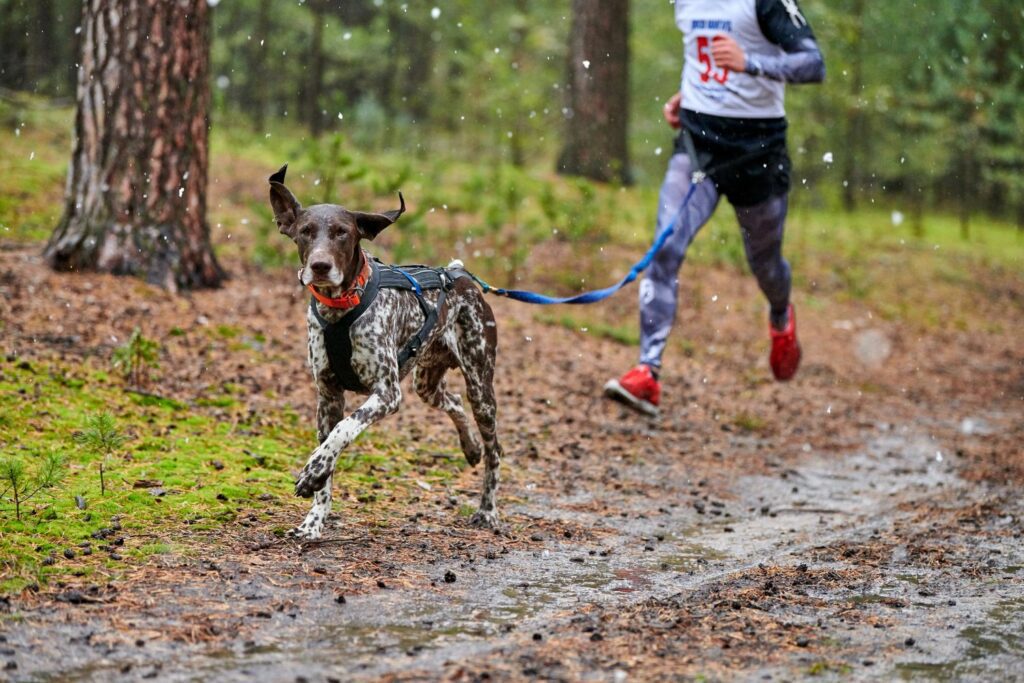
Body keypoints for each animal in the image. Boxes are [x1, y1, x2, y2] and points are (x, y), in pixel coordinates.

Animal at [266, 165, 501, 540]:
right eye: (305, 232)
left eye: (342, 232)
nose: (320, 266)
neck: (340, 308)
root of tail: (458, 275)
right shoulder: (327, 395)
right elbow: (328, 456)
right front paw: (313, 521)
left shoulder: (386, 393)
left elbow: (343, 429)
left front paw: (313, 470)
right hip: (426, 384)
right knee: (453, 403)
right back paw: (470, 446)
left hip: (481, 387)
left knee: (494, 451)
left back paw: (488, 510)